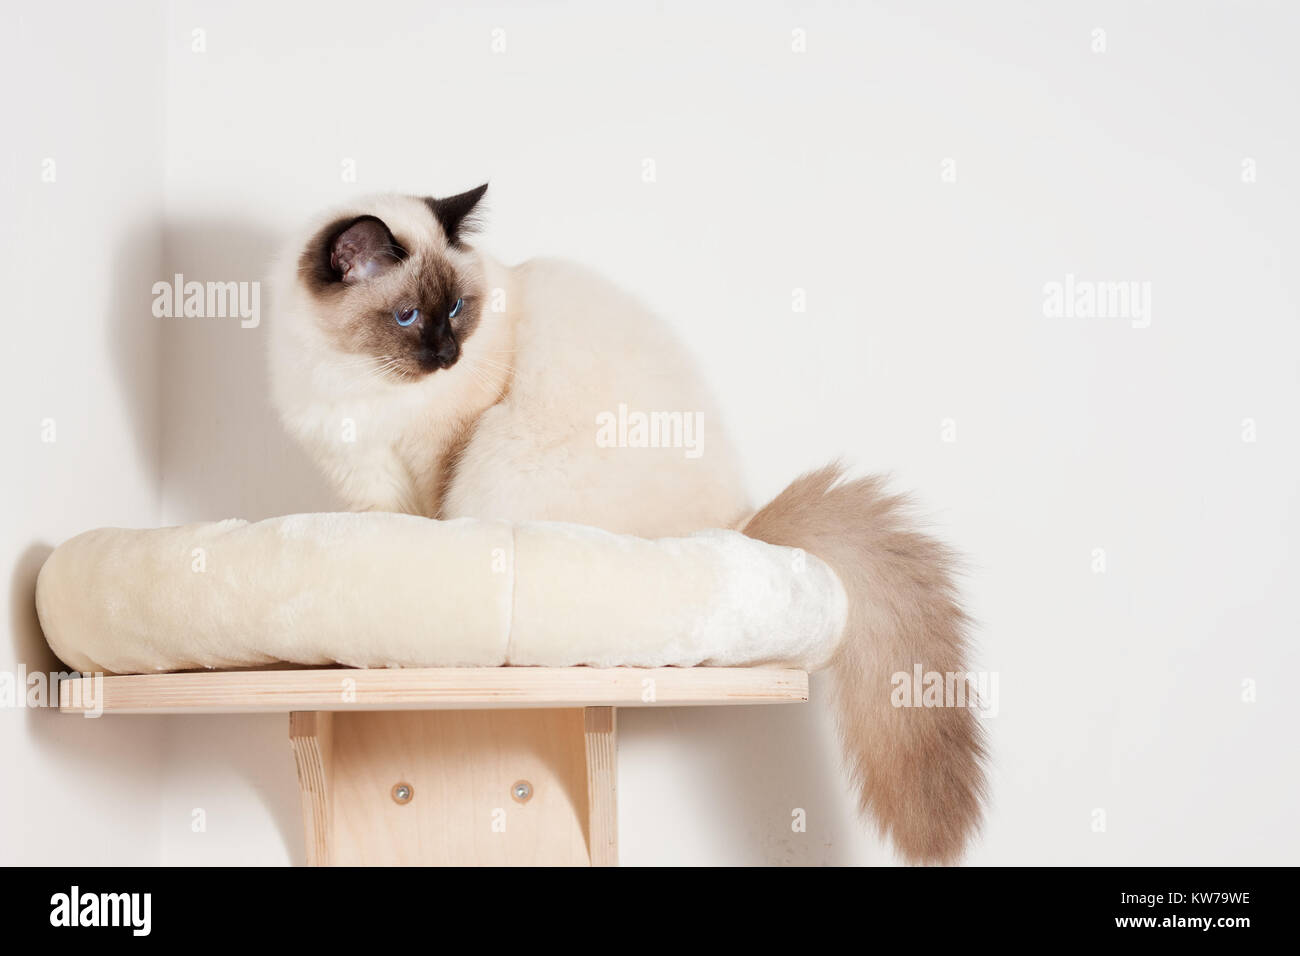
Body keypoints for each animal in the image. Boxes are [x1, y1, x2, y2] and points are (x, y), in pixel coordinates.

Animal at [271, 183, 982, 863]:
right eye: (407, 316)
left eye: (455, 311)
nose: (448, 354)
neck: (358, 386)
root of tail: (741, 530)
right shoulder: (364, 474)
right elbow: (382, 521)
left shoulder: (438, 456)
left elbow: (423, 517)